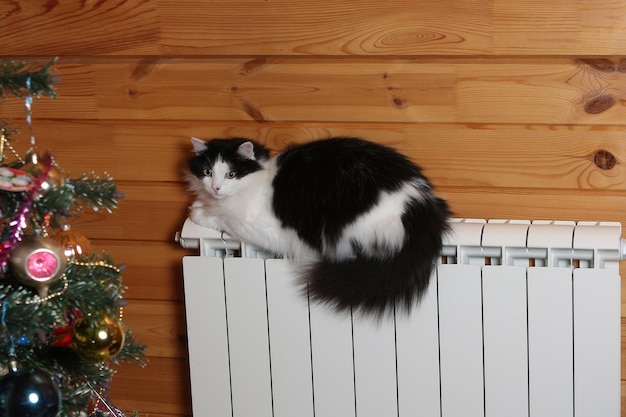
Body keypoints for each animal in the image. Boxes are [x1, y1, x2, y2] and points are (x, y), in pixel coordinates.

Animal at [185, 136, 448, 316]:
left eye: (231, 174)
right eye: (207, 172)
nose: (215, 188)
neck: (259, 179)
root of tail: (421, 202)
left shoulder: (263, 229)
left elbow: (224, 218)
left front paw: (198, 212)